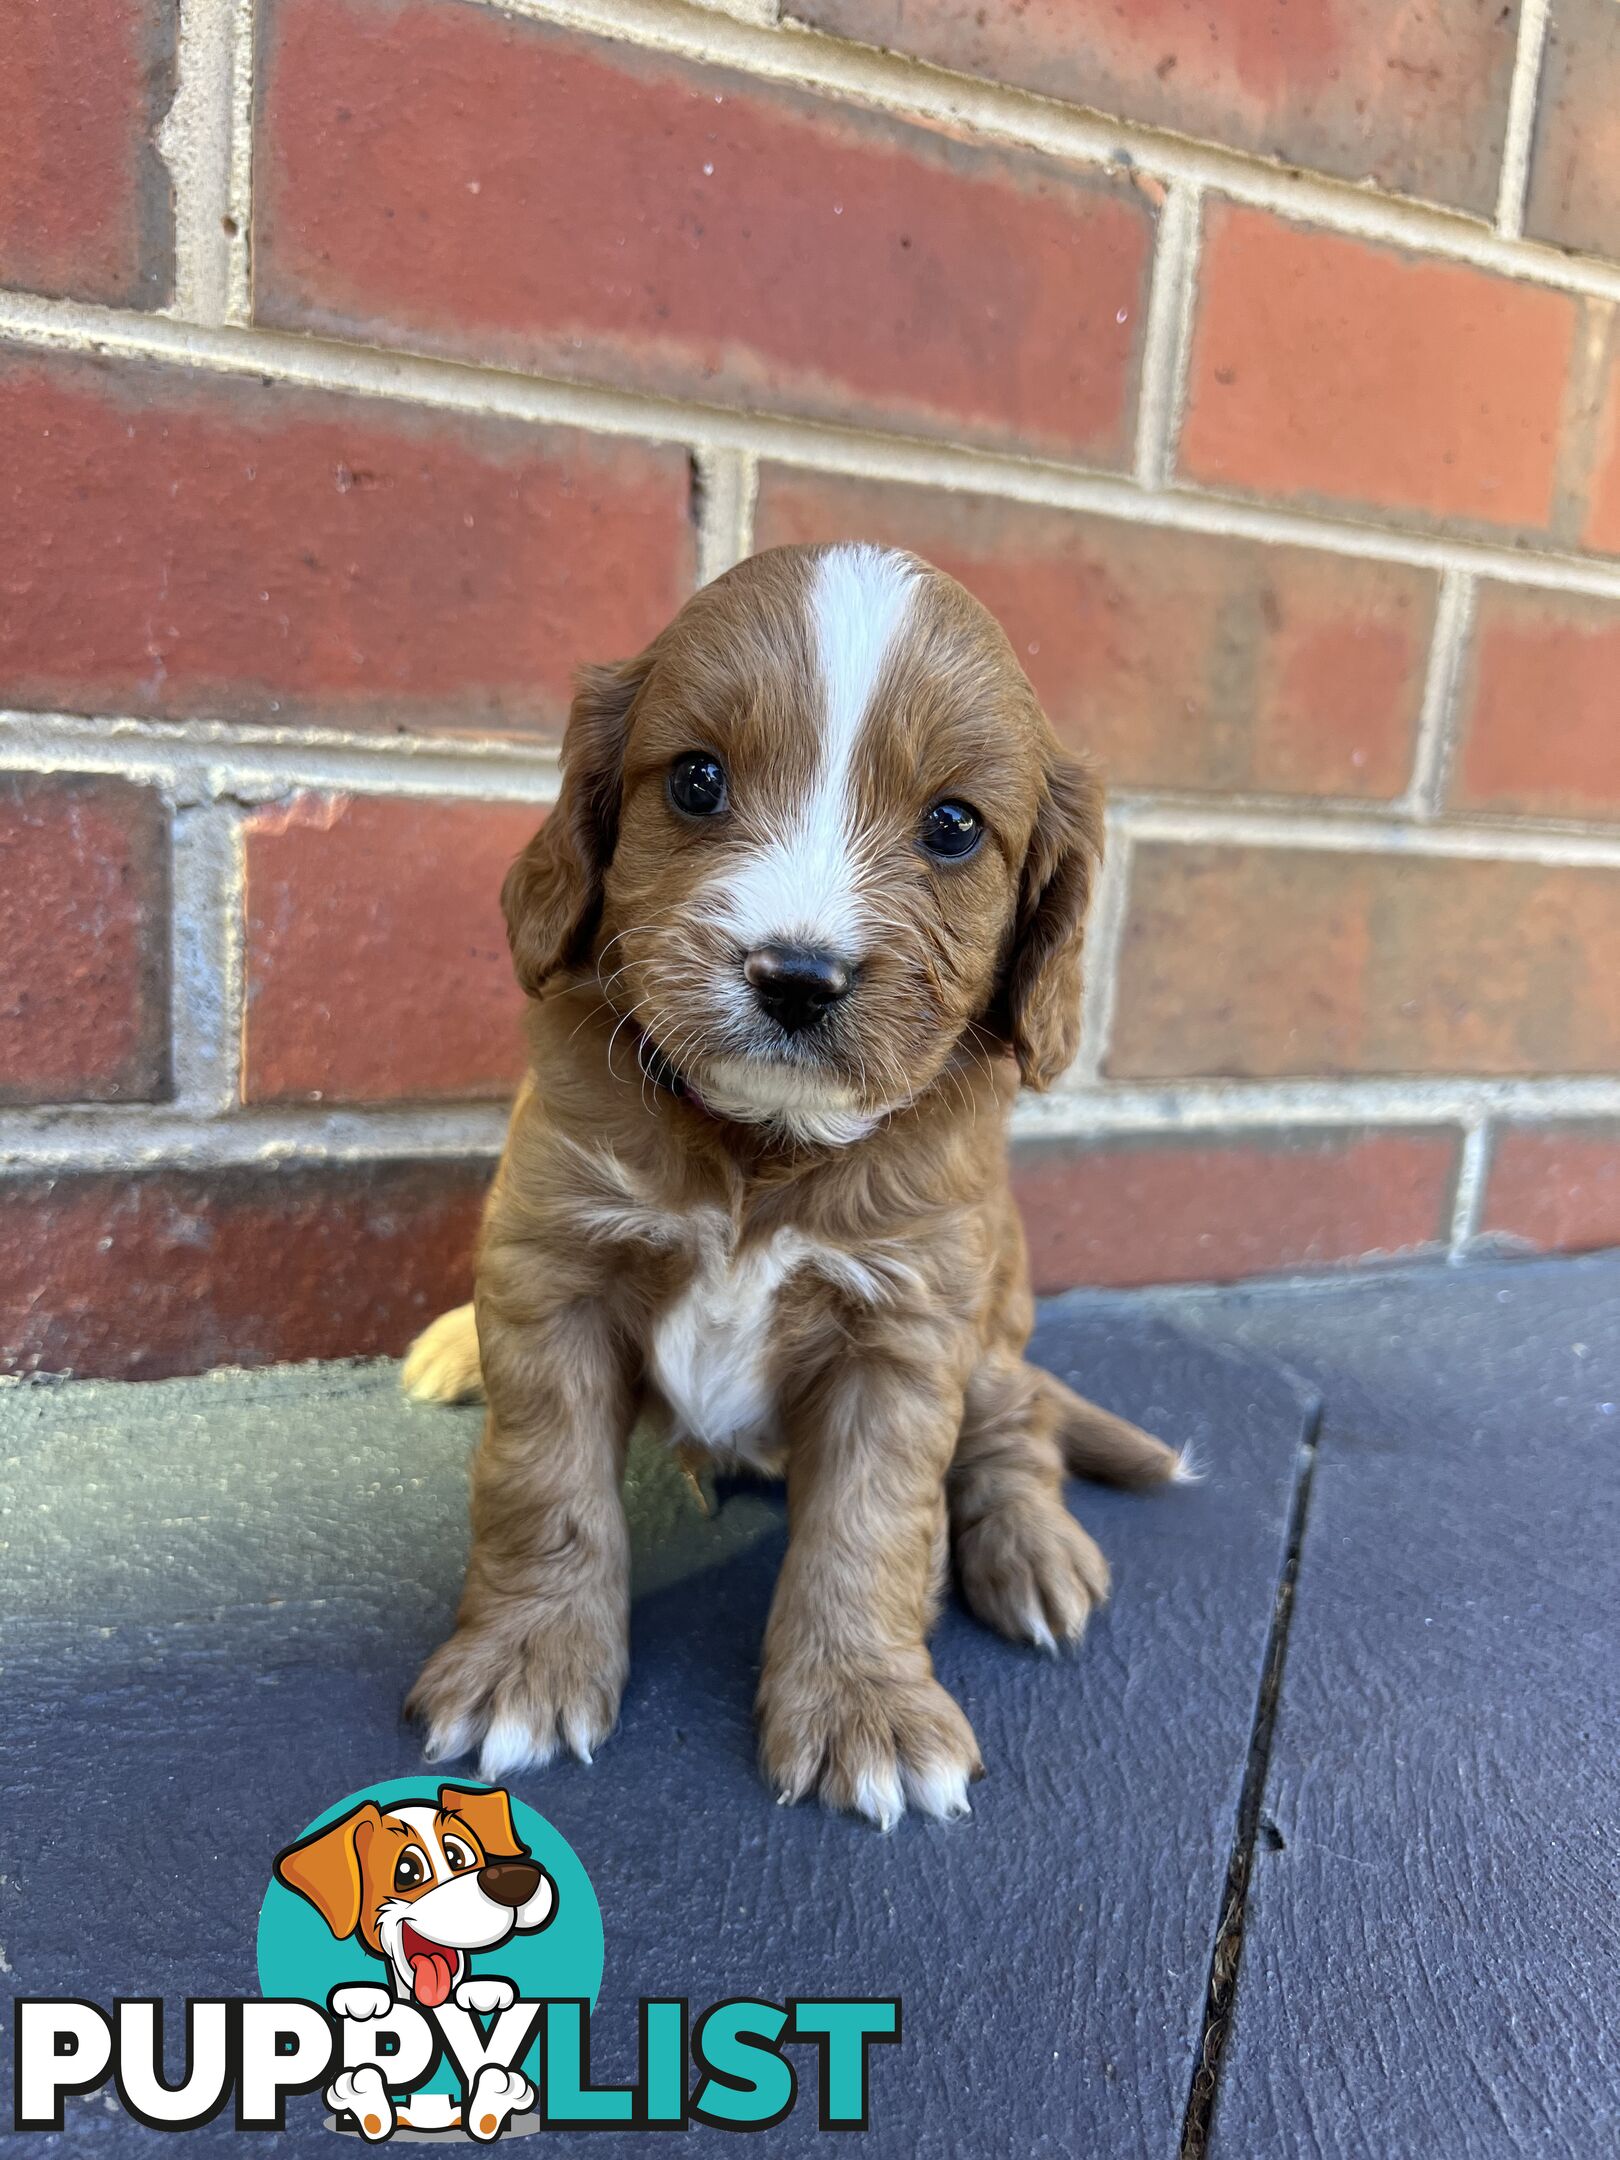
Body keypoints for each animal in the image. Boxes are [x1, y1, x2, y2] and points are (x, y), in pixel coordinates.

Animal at [408, 535, 1183, 1823]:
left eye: (955, 826)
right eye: (697, 782)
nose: (798, 976)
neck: (764, 1143)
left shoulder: (908, 1331)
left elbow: (870, 1529)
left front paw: (866, 1708)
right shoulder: (552, 1263)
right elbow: (543, 1483)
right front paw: (526, 1662)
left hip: (998, 1315)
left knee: (1017, 1421)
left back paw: (1032, 1552)